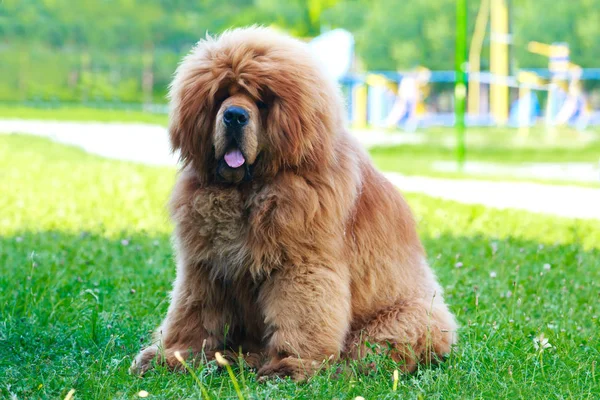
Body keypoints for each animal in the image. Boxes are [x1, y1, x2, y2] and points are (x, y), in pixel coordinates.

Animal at [132, 26, 460, 380]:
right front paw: (174, 356)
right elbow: (192, 314)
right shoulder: (205, 267)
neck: (248, 190)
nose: (234, 115)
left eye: (262, 100)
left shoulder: (299, 266)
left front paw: (291, 366)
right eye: (220, 96)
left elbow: (300, 316)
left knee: (371, 352)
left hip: (403, 321)